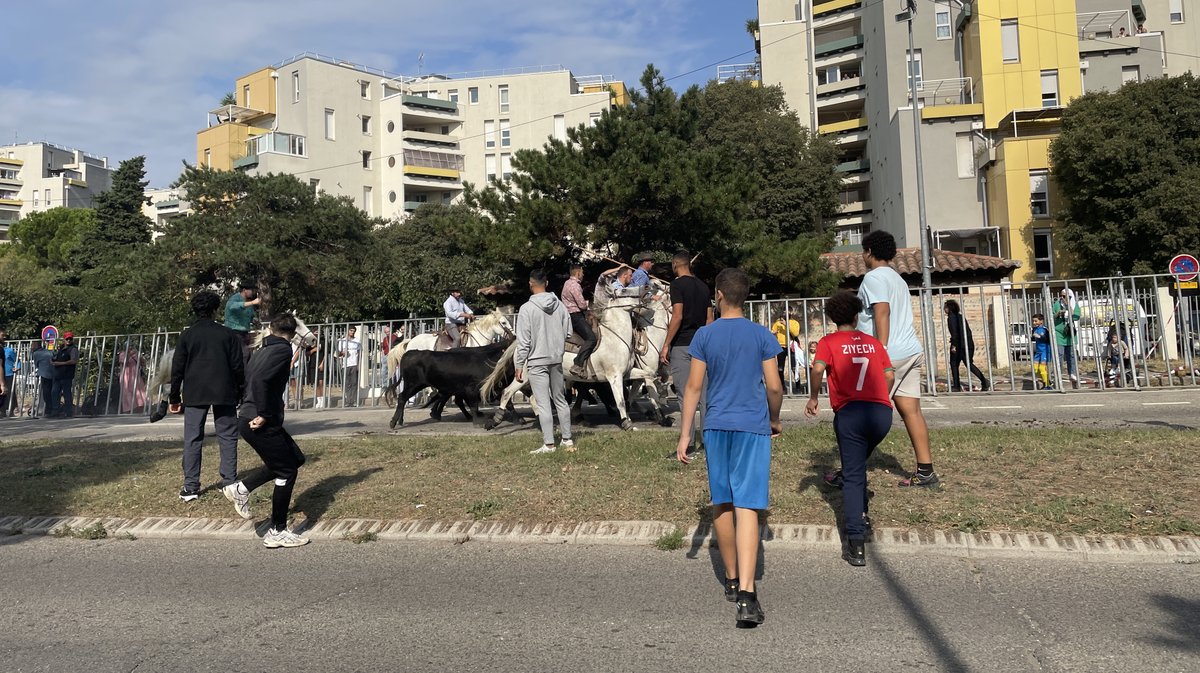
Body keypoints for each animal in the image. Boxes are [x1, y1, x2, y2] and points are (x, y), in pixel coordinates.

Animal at [487, 281, 676, 429]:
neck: (615, 337)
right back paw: (496, 420)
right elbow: (623, 399)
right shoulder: (614, 377)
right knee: (508, 392)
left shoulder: (629, 373)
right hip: (525, 376)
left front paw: (657, 413)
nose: (646, 287)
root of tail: (522, 342)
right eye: (623, 290)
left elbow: (645, 384)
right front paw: (629, 422)